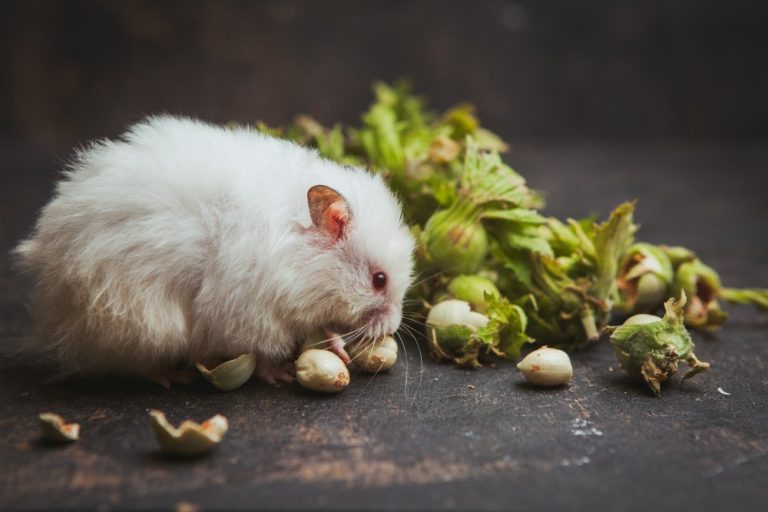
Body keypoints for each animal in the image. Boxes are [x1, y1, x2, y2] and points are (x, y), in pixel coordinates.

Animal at [14, 115, 415, 385]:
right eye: (379, 280)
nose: (394, 326)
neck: (299, 259)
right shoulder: (253, 318)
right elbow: (264, 353)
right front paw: (283, 374)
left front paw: (338, 348)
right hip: (134, 318)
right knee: (135, 362)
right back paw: (172, 377)